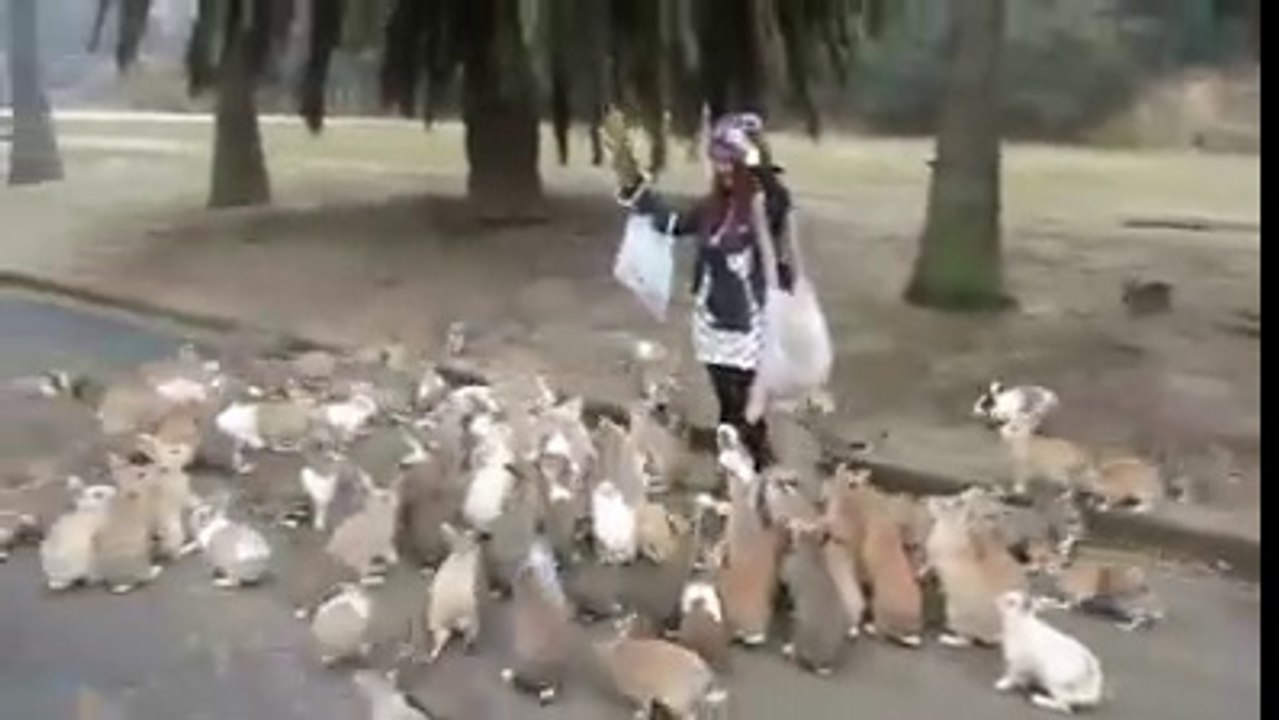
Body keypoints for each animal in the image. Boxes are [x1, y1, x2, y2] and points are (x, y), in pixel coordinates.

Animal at [415, 524, 484, 664]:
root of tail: (452, 620)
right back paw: (470, 645)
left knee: (439, 642)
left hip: (438, 626)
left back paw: (432, 655)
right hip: (470, 618)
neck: (462, 552)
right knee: (471, 633)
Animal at [593, 621, 728, 720]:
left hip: (678, 698)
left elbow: (645, 706)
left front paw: (641, 714)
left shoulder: (643, 691)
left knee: (690, 714)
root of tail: (706, 673)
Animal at [780, 523, 850, 676]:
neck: (810, 545)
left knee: (796, 651)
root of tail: (819, 661)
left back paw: (788, 650)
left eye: (797, 525)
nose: (788, 523)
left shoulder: (790, 567)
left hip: (801, 630)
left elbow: (783, 575)